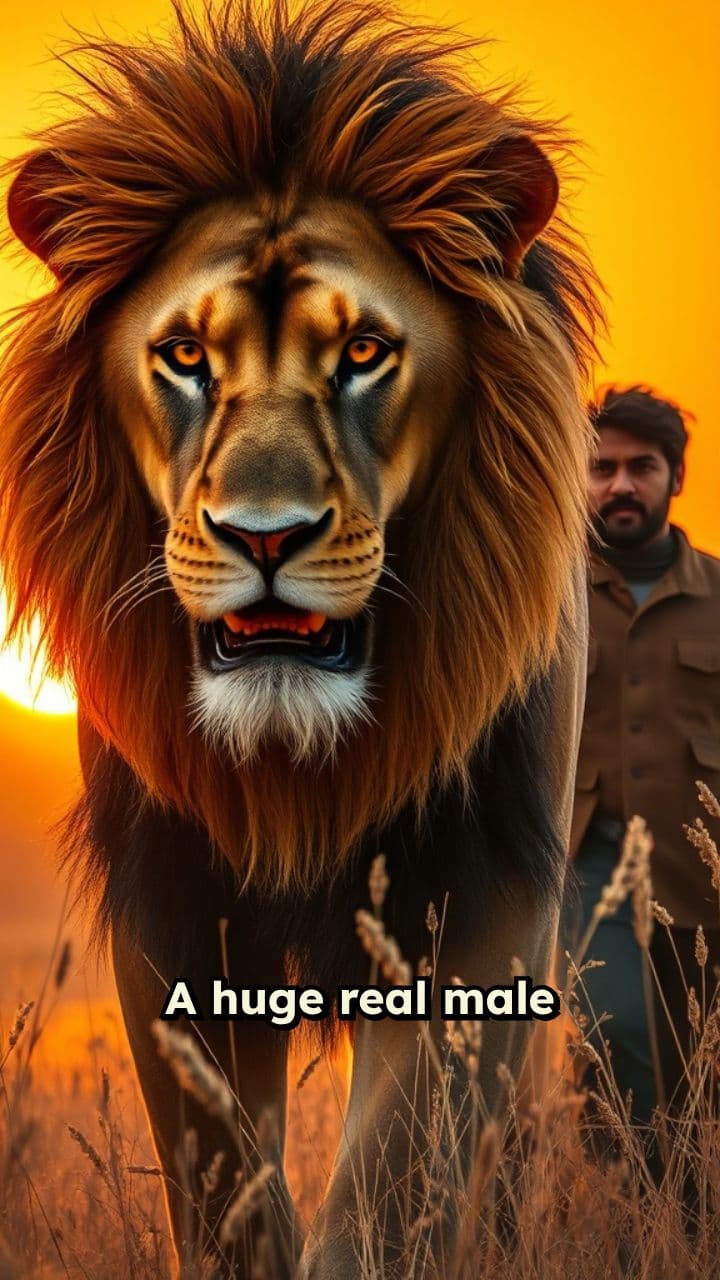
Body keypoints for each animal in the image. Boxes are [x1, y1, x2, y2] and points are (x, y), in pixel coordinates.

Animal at [0, 2, 599, 1275]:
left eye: (364, 350)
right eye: (185, 354)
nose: (263, 534)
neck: (300, 765)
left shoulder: (483, 892)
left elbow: (389, 1179)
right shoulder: (170, 903)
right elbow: (224, 1177)